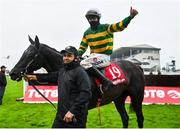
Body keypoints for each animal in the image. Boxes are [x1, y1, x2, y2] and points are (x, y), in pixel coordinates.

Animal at [9, 35, 145, 128]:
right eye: (24, 53)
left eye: (30, 54)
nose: (12, 73)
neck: (68, 68)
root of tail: (137, 66)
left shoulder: (82, 110)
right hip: (118, 98)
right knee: (125, 118)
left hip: (137, 97)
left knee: (140, 118)